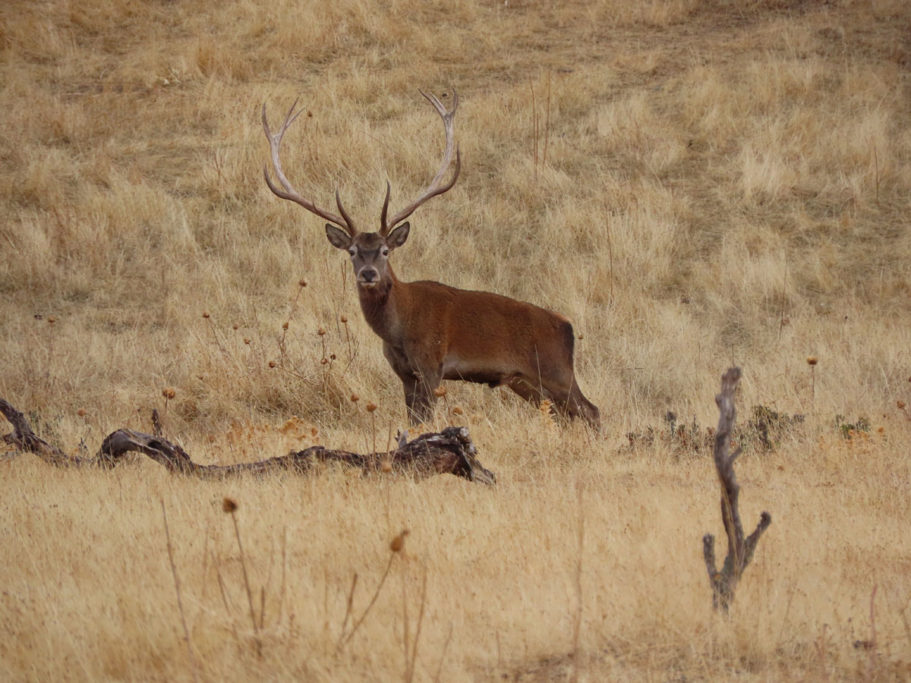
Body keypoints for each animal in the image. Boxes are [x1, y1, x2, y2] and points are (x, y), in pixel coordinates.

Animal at [264, 91, 604, 432]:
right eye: (352, 251)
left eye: (385, 250)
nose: (369, 274)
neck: (398, 329)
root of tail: (567, 326)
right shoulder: (403, 372)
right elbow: (413, 420)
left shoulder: (431, 362)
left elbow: (426, 419)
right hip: (526, 382)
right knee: (566, 415)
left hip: (555, 369)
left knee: (592, 410)